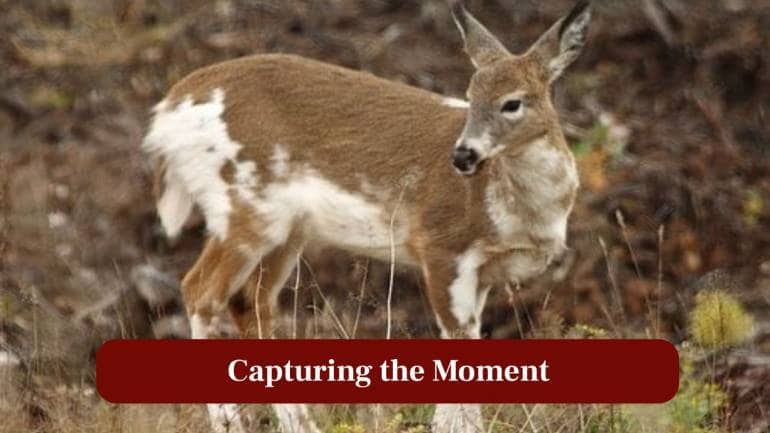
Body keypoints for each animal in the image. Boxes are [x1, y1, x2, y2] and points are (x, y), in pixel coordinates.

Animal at [142, 1, 591, 432]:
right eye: (471, 94)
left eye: (512, 103)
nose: (463, 155)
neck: (518, 211)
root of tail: (168, 111)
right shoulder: (441, 245)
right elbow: (458, 335)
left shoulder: (483, 271)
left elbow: (465, 337)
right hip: (243, 206)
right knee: (199, 291)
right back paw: (229, 424)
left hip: (286, 229)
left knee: (250, 301)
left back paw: (303, 425)